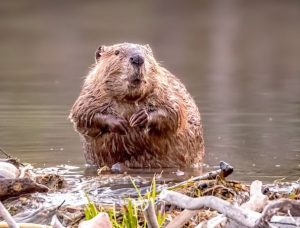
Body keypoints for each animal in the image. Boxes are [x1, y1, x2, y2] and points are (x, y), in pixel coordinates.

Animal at [69, 43, 205, 167]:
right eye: (117, 52)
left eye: (146, 53)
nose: (137, 58)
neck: (129, 99)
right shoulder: (90, 94)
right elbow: (82, 115)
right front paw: (120, 123)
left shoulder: (166, 89)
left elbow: (174, 111)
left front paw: (140, 117)